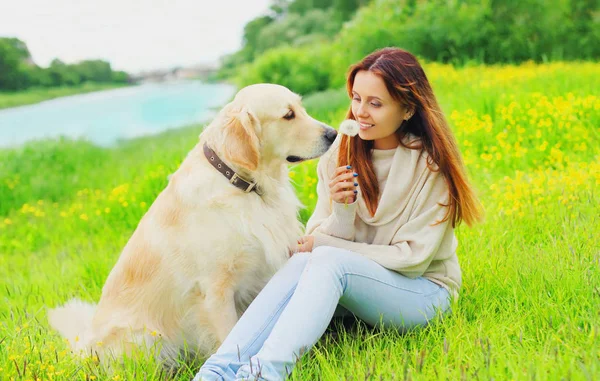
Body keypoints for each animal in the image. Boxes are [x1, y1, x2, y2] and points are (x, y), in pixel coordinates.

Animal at [48, 82, 338, 366]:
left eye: (301, 107)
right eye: (288, 115)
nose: (333, 134)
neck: (240, 182)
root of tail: (85, 347)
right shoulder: (215, 291)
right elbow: (230, 337)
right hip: (145, 336)